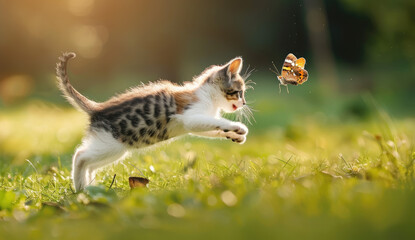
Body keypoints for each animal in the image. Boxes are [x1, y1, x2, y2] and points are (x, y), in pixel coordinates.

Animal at [55, 52, 250, 191]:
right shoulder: (189, 116)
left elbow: (212, 128)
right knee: (80, 156)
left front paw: (236, 136)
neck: (208, 96)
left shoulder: (195, 123)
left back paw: (89, 187)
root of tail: (98, 108)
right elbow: (214, 121)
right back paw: (80, 188)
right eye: (239, 92)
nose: (244, 103)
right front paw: (238, 127)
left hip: (111, 147)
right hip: (112, 145)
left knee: (90, 163)